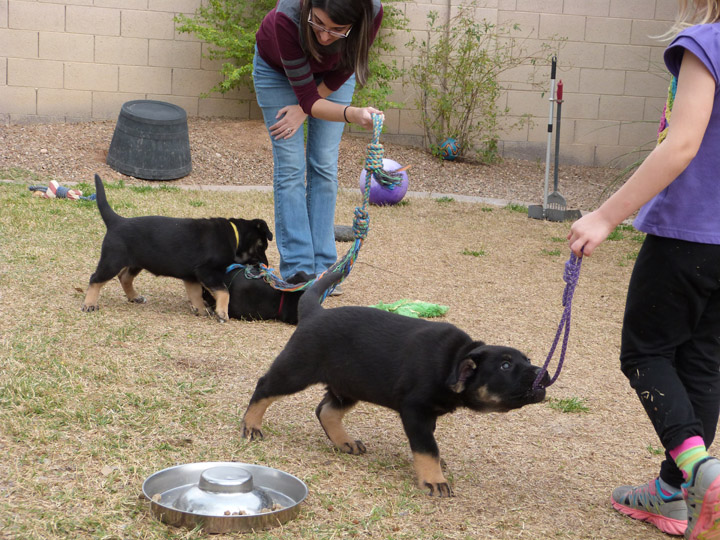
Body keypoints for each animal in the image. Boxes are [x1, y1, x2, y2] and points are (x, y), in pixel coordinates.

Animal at [81, 175, 272, 322]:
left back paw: (134, 296)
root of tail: (116, 221)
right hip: (112, 260)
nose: (267, 266)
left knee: (124, 277)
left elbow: (195, 294)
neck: (234, 236)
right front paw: (222, 313)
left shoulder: (192, 276)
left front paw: (201, 310)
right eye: (262, 246)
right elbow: (223, 291)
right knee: (95, 279)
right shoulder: (207, 271)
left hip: (137, 261)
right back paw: (89, 304)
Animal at [242, 272, 552, 496]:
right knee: (265, 387)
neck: (452, 361)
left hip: (351, 383)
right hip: (297, 369)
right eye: (505, 365)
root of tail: (314, 313)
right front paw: (434, 480)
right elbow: (427, 447)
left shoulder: (428, 414)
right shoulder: (415, 410)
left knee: (326, 410)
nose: (544, 373)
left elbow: (428, 444)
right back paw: (251, 425)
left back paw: (345, 442)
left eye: (527, 359)